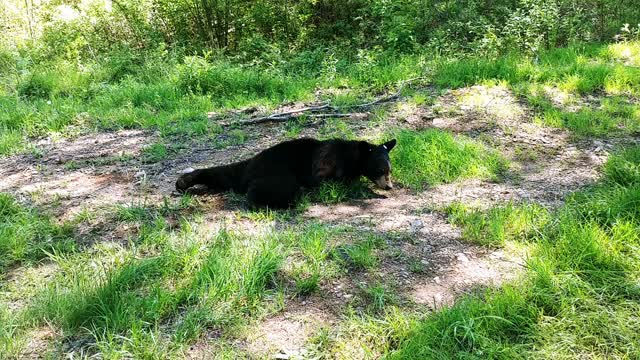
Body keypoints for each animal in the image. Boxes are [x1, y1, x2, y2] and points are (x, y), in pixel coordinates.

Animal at [175, 137, 396, 208]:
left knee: (222, 174)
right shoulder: (327, 165)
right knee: (284, 189)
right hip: (277, 175)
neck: (352, 157)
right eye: (380, 169)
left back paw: (184, 181)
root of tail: (251, 168)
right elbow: (330, 181)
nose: (389, 186)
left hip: (241, 171)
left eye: (389, 170)